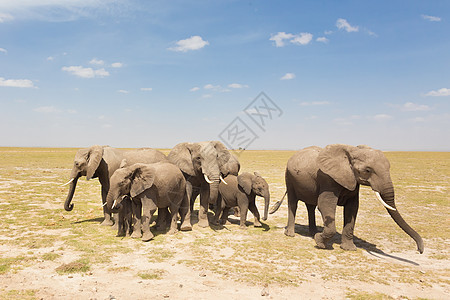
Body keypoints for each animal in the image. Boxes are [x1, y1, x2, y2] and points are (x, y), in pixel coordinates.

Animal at [268, 144, 424, 253]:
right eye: (368, 170)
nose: (420, 250)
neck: (352, 151)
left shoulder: (353, 182)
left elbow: (352, 209)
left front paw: (349, 248)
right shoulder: (327, 179)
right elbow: (325, 205)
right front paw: (320, 242)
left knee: (310, 206)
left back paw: (312, 232)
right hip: (289, 177)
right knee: (293, 203)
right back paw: (291, 234)